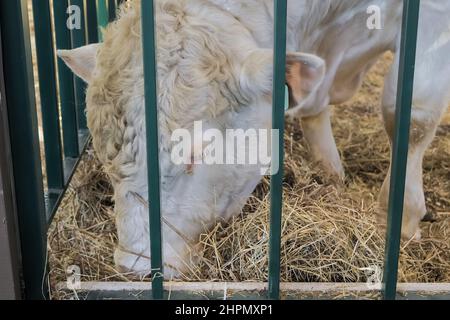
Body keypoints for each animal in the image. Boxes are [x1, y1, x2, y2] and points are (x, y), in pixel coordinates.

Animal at [59, 0, 450, 278]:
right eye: (104, 155)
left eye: (199, 150)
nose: (134, 267)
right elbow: (313, 105)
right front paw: (330, 175)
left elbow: (411, 114)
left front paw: (402, 218)